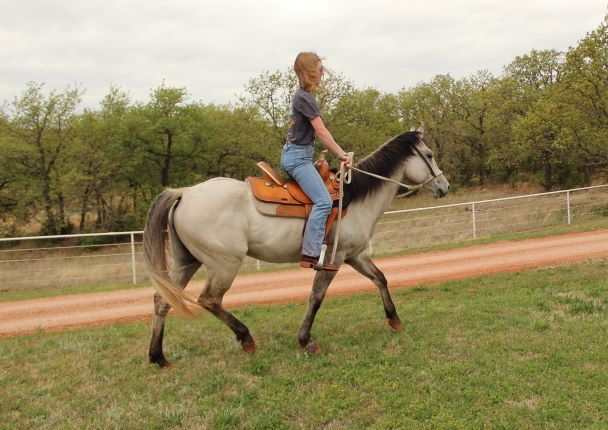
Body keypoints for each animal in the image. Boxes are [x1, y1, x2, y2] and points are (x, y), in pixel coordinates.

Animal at [141, 129, 446, 368]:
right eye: (429, 155)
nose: (444, 185)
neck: (354, 197)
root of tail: (184, 192)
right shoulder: (334, 258)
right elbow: (316, 297)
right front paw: (306, 340)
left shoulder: (355, 255)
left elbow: (380, 278)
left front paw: (394, 320)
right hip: (224, 264)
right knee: (209, 300)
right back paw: (246, 338)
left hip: (187, 261)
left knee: (162, 301)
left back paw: (159, 357)